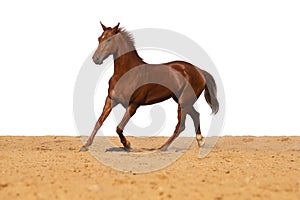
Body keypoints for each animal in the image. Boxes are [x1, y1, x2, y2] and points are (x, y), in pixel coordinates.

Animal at [79, 22, 219, 152]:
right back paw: (200, 142)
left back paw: (163, 147)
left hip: (184, 102)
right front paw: (85, 146)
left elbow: (119, 127)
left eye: (109, 39)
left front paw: (127, 145)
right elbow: (99, 122)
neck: (126, 74)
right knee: (196, 115)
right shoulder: (111, 100)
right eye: (99, 38)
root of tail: (199, 70)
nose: (95, 59)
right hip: (183, 101)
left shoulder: (133, 105)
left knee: (181, 125)